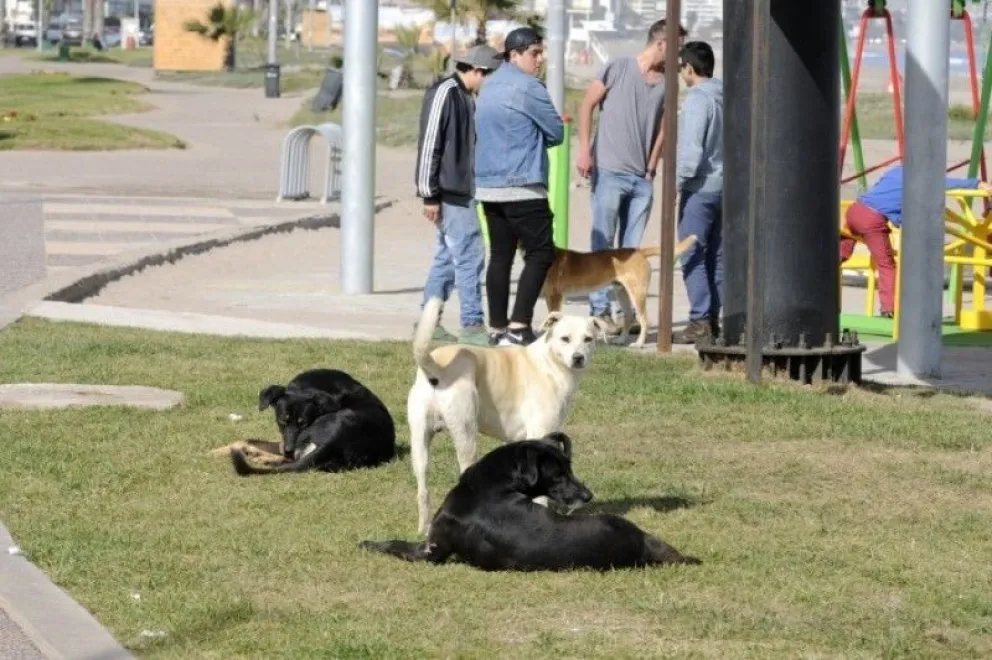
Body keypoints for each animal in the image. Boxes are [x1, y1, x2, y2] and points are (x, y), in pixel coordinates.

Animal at [211, 368, 396, 476]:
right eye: (282, 421)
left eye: (304, 423)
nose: (289, 450)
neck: (306, 388)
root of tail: (336, 441)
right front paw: (216, 451)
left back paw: (261, 457)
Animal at [360, 435, 701, 571]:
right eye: (560, 473)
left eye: (569, 469)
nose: (588, 496)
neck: (490, 484)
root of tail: (639, 545)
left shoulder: (431, 551)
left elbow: (394, 544)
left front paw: (367, 543)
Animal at [407, 297, 605, 535]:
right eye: (565, 339)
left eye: (588, 339)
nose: (578, 358)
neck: (548, 362)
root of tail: (437, 368)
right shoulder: (540, 432)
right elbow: (540, 494)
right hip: (466, 434)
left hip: (419, 442)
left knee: (422, 491)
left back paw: (423, 529)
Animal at [542, 235, 698, 347]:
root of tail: (639, 251)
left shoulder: (554, 296)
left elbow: (552, 320)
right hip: (622, 293)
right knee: (628, 317)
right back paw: (621, 340)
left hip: (637, 294)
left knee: (643, 320)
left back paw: (639, 343)